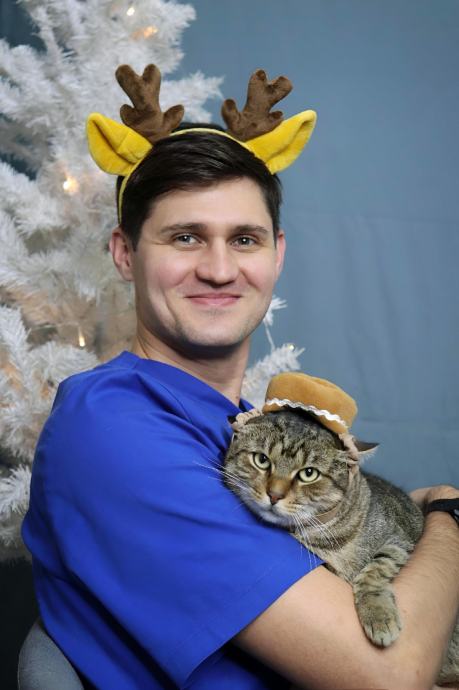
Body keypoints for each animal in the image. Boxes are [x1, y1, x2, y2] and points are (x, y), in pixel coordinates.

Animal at [223, 409, 459, 686]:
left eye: (308, 474)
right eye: (262, 460)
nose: (274, 495)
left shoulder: (399, 541)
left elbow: (374, 571)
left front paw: (378, 615)